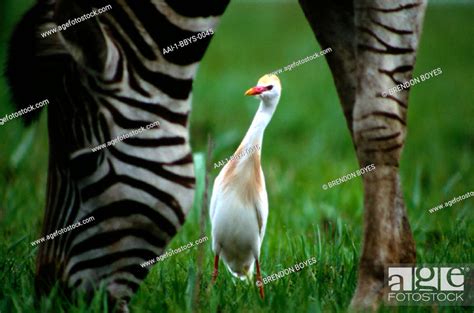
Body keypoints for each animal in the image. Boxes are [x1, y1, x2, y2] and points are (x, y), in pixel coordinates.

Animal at [3, 0, 426, 310]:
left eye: (85, 162)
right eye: (258, 86)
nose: (51, 296)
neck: (244, 169)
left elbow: (372, 117)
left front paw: (380, 286)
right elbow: (352, 95)